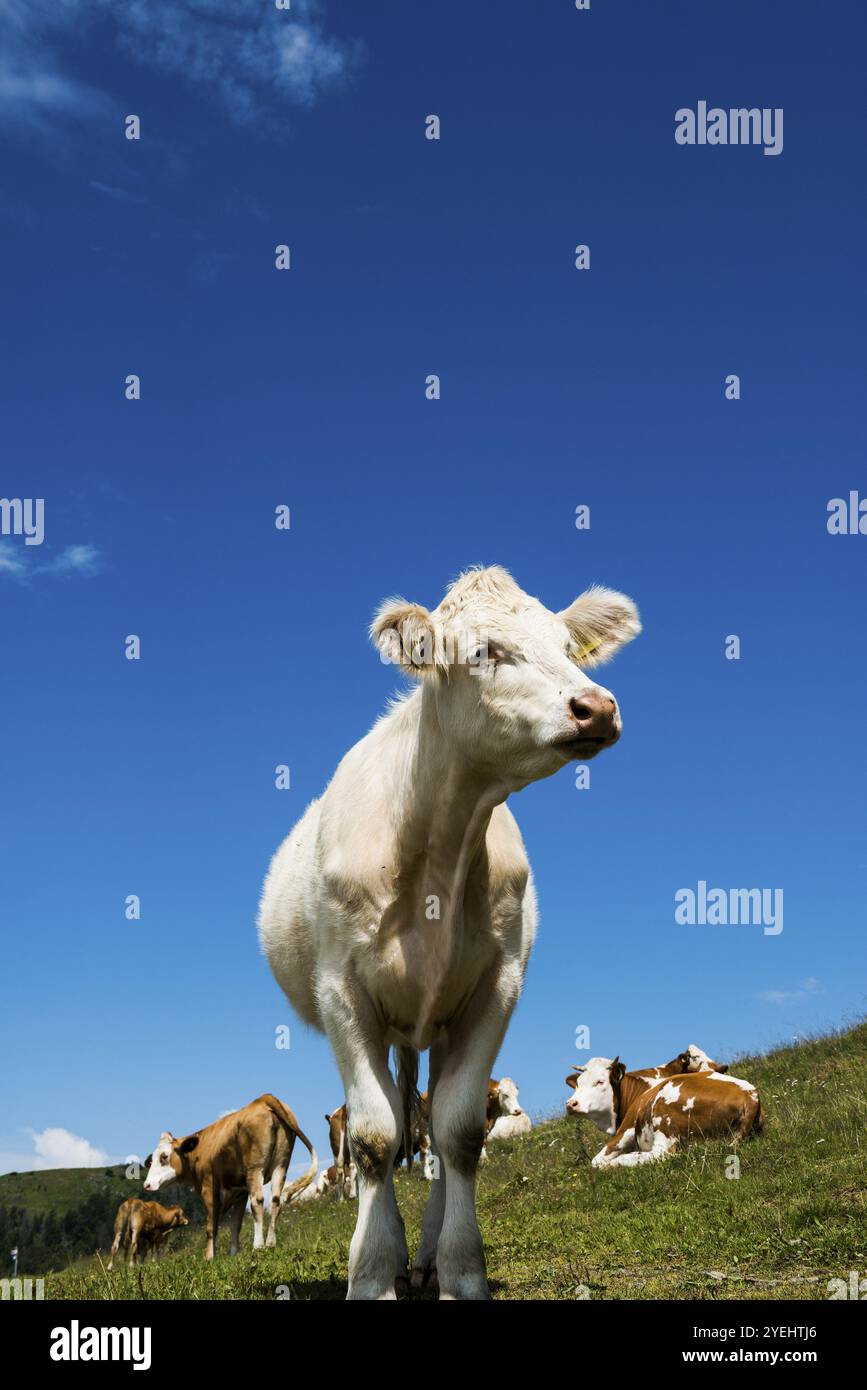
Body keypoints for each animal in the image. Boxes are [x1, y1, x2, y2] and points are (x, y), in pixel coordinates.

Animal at [142, 1094, 317, 1259]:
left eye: (164, 1157)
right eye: (151, 1160)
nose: (147, 1184)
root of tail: (263, 1098)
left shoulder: (209, 1189)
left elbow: (211, 1226)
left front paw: (209, 1257)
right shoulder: (240, 1192)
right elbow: (235, 1224)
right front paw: (233, 1253)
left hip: (255, 1168)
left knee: (258, 1201)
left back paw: (258, 1245)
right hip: (281, 1165)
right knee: (275, 1200)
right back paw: (270, 1243)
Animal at [258, 565, 640, 1299]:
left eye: (567, 647)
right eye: (483, 650)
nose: (596, 706)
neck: (439, 841)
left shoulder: (496, 987)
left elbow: (459, 1131)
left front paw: (460, 1269)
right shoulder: (343, 993)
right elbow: (376, 1137)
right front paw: (372, 1273)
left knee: (433, 1126)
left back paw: (428, 1253)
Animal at [565, 1057, 761, 1167]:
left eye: (600, 1082)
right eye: (578, 1083)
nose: (571, 1104)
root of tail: (750, 1095)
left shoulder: (625, 1130)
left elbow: (595, 1161)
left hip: (664, 1118)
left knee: (661, 1155)